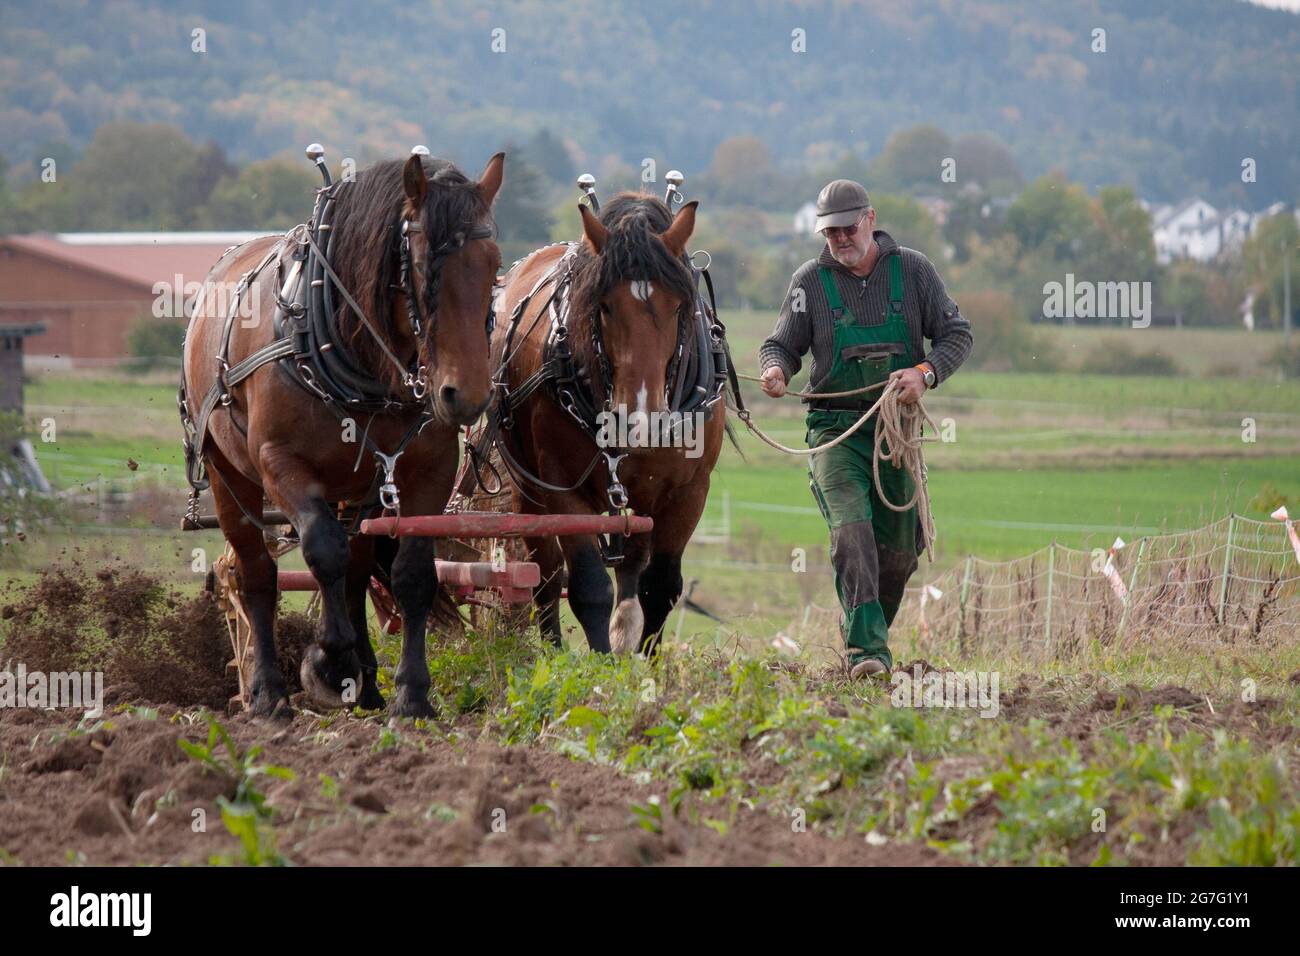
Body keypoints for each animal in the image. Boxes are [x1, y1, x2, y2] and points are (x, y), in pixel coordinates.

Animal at [181, 150, 504, 718]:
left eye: (493, 263)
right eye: (422, 264)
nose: (465, 395)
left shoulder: (428, 472)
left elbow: (412, 575)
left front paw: (411, 694)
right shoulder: (280, 463)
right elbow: (321, 553)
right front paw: (327, 661)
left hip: (359, 490)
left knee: (355, 572)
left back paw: (367, 684)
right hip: (227, 475)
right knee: (256, 572)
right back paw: (268, 692)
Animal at [489, 193, 726, 655]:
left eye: (679, 305)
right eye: (603, 305)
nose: (642, 421)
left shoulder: (689, 491)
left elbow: (660, 586)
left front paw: (646, 664)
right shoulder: (561, 487)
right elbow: (586, 584)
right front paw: (598, 665)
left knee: (631, 563)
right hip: (527, 487)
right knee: (545, 574)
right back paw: (555, 649)